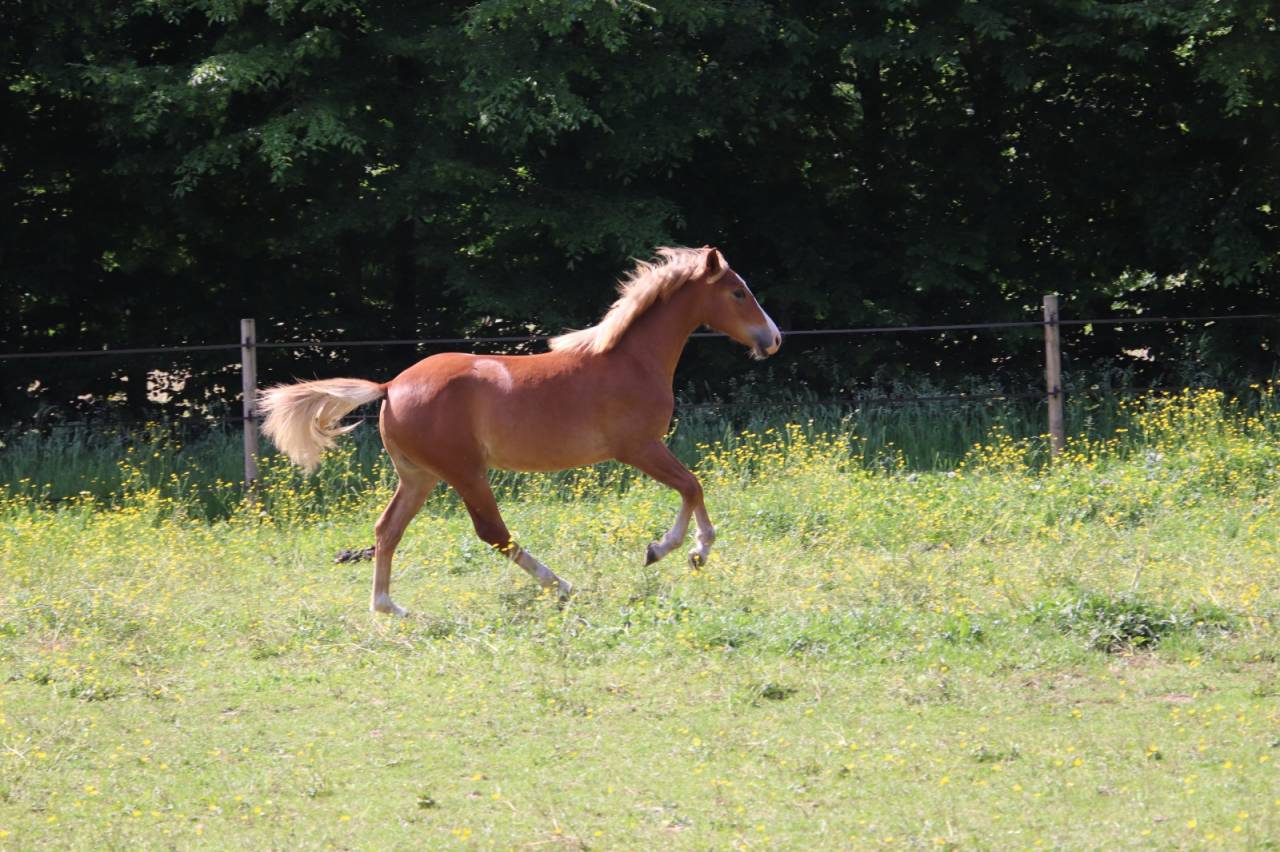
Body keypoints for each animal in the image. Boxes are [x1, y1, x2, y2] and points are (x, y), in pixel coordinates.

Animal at [258, 246, 782, 615]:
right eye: (738, 292)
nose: (773, 339)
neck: (631, 361)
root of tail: (389, 386)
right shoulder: (638, 447)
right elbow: (692, 486)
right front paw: (679, 550)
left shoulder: (644, 450)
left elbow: (692, 487)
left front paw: (683, 551)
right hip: (465, 472)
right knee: (493, 533)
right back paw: (562, 585)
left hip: (418, 477)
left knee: (388, 530)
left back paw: (390, 609)